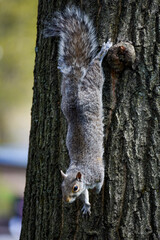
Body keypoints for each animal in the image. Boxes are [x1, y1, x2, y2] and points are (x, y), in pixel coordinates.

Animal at [44, 6, 112, 216]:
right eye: (61, 186)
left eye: (74, 187)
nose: (66, 200)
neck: (81, 170)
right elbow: (86, 195)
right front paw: (86, 205)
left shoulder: (98, 172)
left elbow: (99, 182)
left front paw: (98, 191)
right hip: (66, 99)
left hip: (93, 84)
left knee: (96, 67)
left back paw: (103, 51)